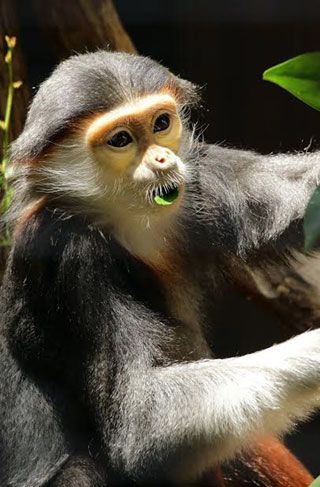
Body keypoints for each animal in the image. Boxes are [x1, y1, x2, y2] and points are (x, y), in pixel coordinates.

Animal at [0, 50, 320, 487]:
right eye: (121, 140)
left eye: (161, 124)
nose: (162, 158)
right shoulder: (63, 255)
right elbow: (143, 424)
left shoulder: (198, 176)